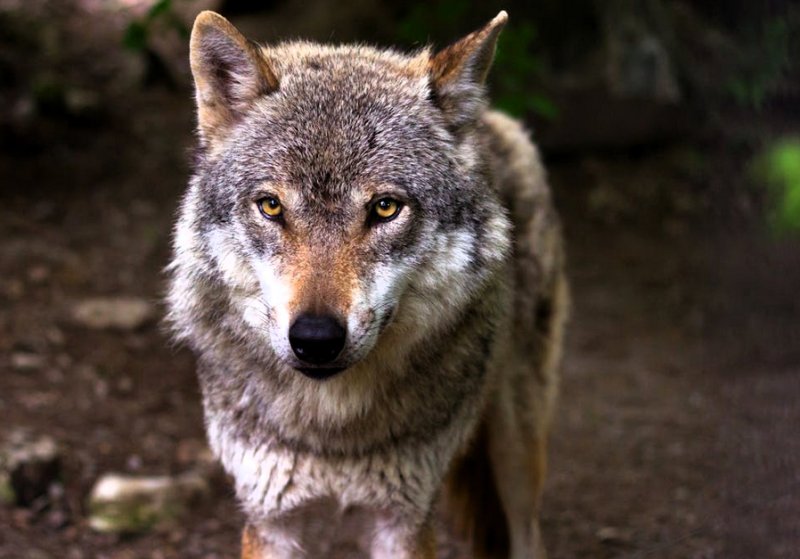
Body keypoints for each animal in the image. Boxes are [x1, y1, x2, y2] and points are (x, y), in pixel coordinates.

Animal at [166, 9, 567, 559]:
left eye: (385, 208)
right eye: (271, 206)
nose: (315, 338)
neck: (333, 429)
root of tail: (492, 120)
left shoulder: (404, 521)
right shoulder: (270, 519)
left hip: (517, 451)